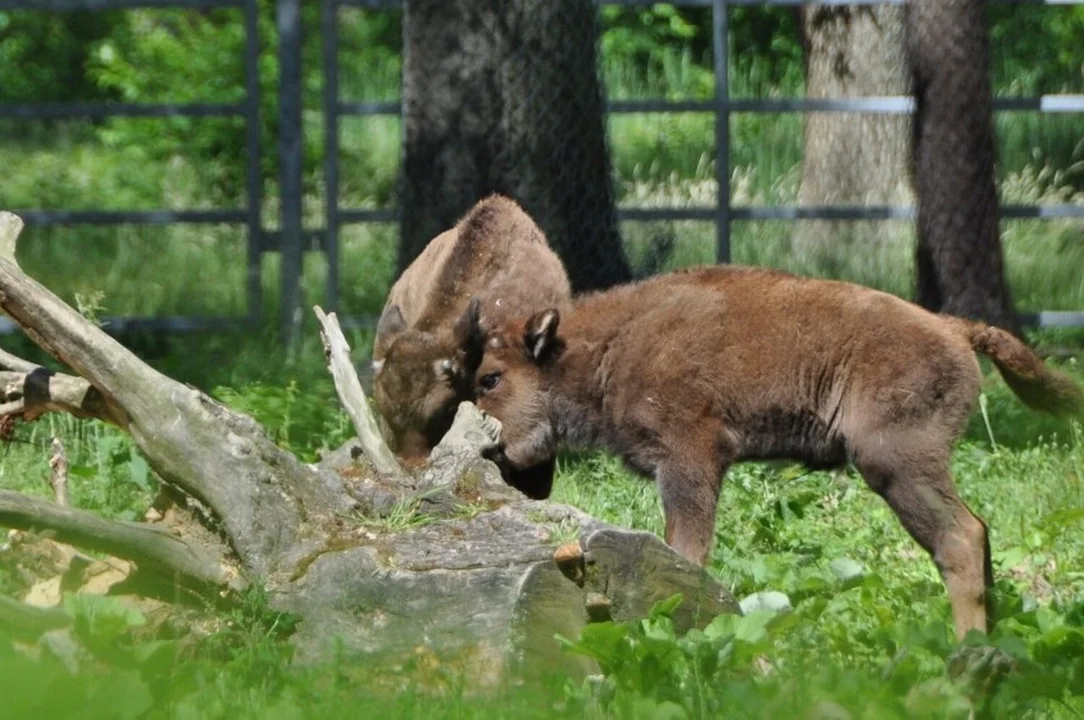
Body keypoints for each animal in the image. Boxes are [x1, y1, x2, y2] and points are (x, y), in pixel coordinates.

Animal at [470, 265, 1079, 641]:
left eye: (491, 377)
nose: (488, 447)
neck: (603, 348)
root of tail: (953, 328)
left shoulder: (691, 461)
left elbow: (686, 550)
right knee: (978, 531)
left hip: (897, 465)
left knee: (960, 538)